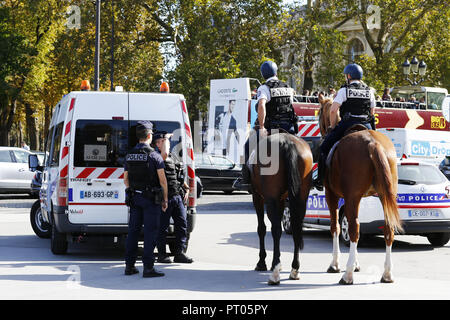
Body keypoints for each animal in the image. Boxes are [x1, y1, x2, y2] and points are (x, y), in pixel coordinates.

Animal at [250, 132, 312, 284]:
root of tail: (287, 142)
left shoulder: (258, 197)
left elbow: (262, 228)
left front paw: (262, 262)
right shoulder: (282, 199)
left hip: (270, 199)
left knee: (276, 229)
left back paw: (275, 272)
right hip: (301, 199)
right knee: (296, 227)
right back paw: (295, 269)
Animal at [318, 94, 402, 284]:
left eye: (320, 114)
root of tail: (373, 144)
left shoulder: (332, 195)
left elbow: (335, 227)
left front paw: (336, 264)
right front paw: (356, 263)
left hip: (351, 197)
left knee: (354, 229)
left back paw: (347, 275)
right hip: (385, 195)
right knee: (388, 229)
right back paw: (387, 273)